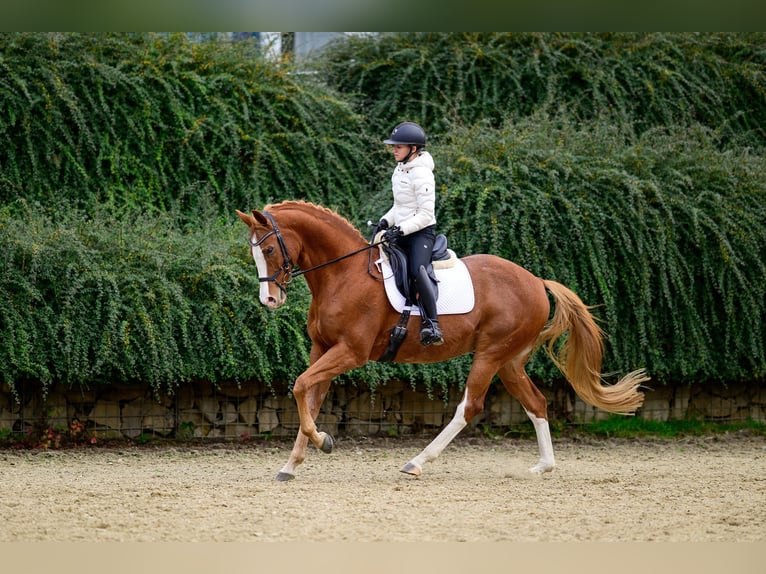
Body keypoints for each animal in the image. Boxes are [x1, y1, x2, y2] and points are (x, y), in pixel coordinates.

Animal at [236, 200, 648, 481]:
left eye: (269, 249)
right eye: (253, 252)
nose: (269, 300)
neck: (343, 274)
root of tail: (536, 281)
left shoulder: (350, 353)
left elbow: (300, 385)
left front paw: (323, 442)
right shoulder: (321, 350)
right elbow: (309, 396)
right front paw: (293, 463)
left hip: (490, 354)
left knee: (469, 406)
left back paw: (417, 462)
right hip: (510, 361)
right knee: (536, 402)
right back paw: (543, 466)